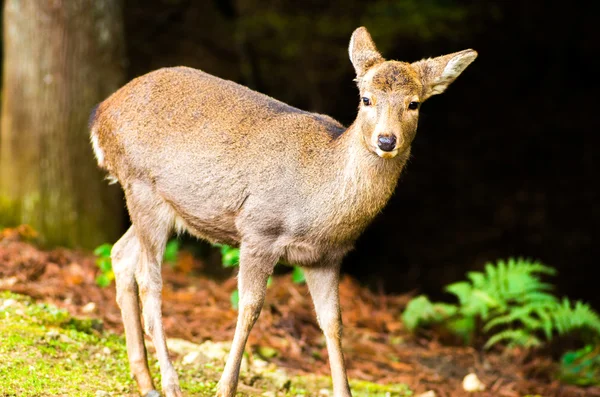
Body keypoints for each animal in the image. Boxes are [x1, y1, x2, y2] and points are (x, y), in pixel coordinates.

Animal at [88, 26, 478, 394]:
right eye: (366, 99)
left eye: (414, 104)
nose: (386, 140)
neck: (319, 204)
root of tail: (100, 115)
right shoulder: (258, 230)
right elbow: (249, 307)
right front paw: (224, 388)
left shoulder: (327, 257)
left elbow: (333, 323)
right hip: (141, 185)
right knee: (149, 280)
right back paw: (169, 384)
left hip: (160, 206)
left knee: (120, 254)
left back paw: (146, 381)